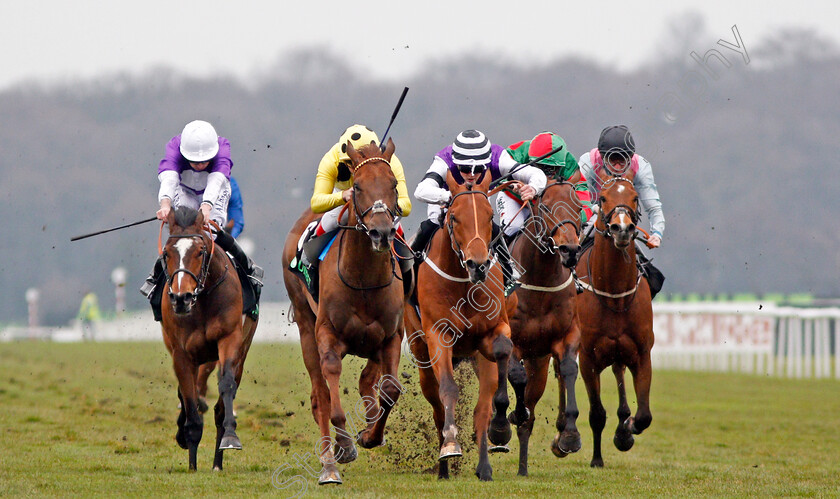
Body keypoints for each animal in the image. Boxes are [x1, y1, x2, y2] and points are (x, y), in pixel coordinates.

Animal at [159, 207, 258, 472]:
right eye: (167, 252)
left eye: (200, 251)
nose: (181, 298)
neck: (201, 299)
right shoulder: (181, 353)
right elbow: (189, 399)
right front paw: (192, 462)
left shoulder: (229, 340)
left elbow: (226, 388)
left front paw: (230, 438)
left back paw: (217, 462)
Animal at [282, 139, 406, 486]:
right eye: (358, 186)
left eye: (393, 185)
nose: (381, 233)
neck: (363, 280)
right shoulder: (327, 335)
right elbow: (331, 398)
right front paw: (344, 448)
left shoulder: (391, 335)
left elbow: (389, 390)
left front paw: (370, 435)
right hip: (305, 326)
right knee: (320, 395)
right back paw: (329, 462)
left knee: (368, 382)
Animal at [406, 174, 516, 482]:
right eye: (454, 216)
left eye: (490, 216)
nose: (478, 265)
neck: (463, 283)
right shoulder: (437, 335)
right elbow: (448, 389)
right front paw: (451, 445)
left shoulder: (493, 331)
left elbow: (502, 351)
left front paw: (500, 429)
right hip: (421, 354)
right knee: (436, 406)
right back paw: (444, 466)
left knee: (482, 408)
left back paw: (485, 465)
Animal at [506, 180, 584, 476]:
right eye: (547, 206)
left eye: (578, 207)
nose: (570, 250)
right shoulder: (510, 340)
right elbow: (514, 375)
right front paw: (511, 416)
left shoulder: (566, 335)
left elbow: (569, 369)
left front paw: (569, 436)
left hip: (538, 360)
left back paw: (522, 468)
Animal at [576, 171, 656, 468]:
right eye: (602, 198)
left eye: (634, 197)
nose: (622, 229)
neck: (614, 296)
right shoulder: (587, 358)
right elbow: (597, 413)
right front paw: (596, 459)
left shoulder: (642, 354)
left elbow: (643, 415)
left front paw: (626, 431)